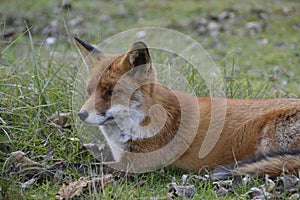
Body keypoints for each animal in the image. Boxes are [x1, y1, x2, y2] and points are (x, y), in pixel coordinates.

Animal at [73, 37, 300, 178]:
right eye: (89, 91)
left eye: (110, 92)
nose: (81, 115)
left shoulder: (135, 164)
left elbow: (86, 166)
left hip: (269, 139)